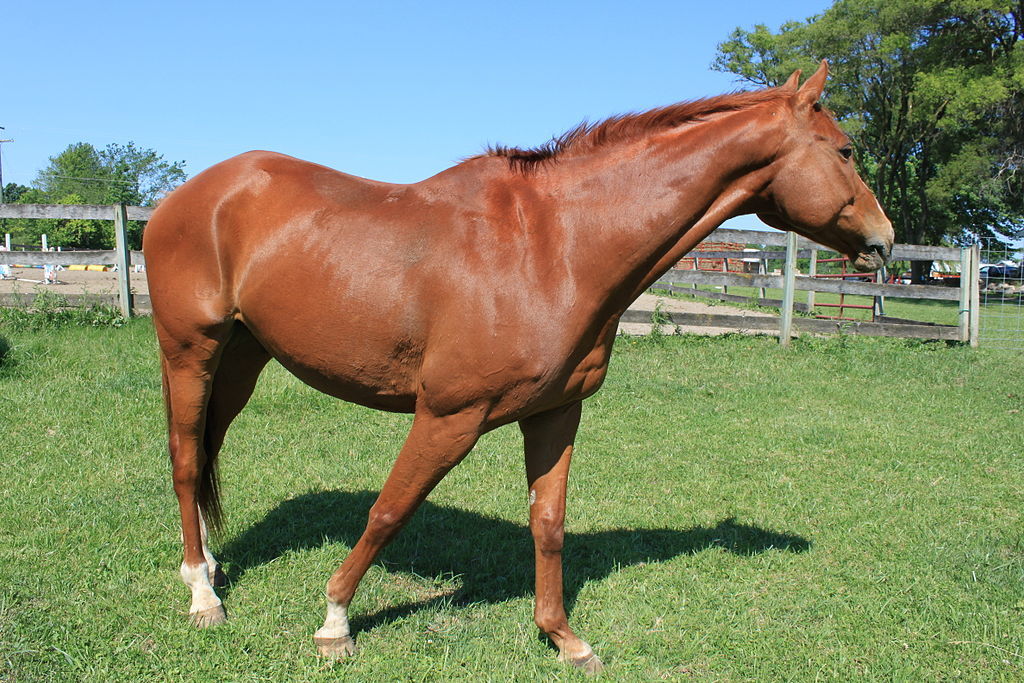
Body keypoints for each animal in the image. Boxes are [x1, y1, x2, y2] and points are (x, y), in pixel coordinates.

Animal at [143, 61, 892, 673]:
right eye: (846, 151)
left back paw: (208, 565)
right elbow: (389, 510)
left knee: (207, 453)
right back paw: (203, 594)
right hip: (190, 351)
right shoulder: (449, 416)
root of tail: (190, 195)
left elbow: (548, 525)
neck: (555, 246)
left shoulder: (556, 413)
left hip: (243, 358)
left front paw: (564, 638)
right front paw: (335, 621)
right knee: (185, 456)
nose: (884, 241)